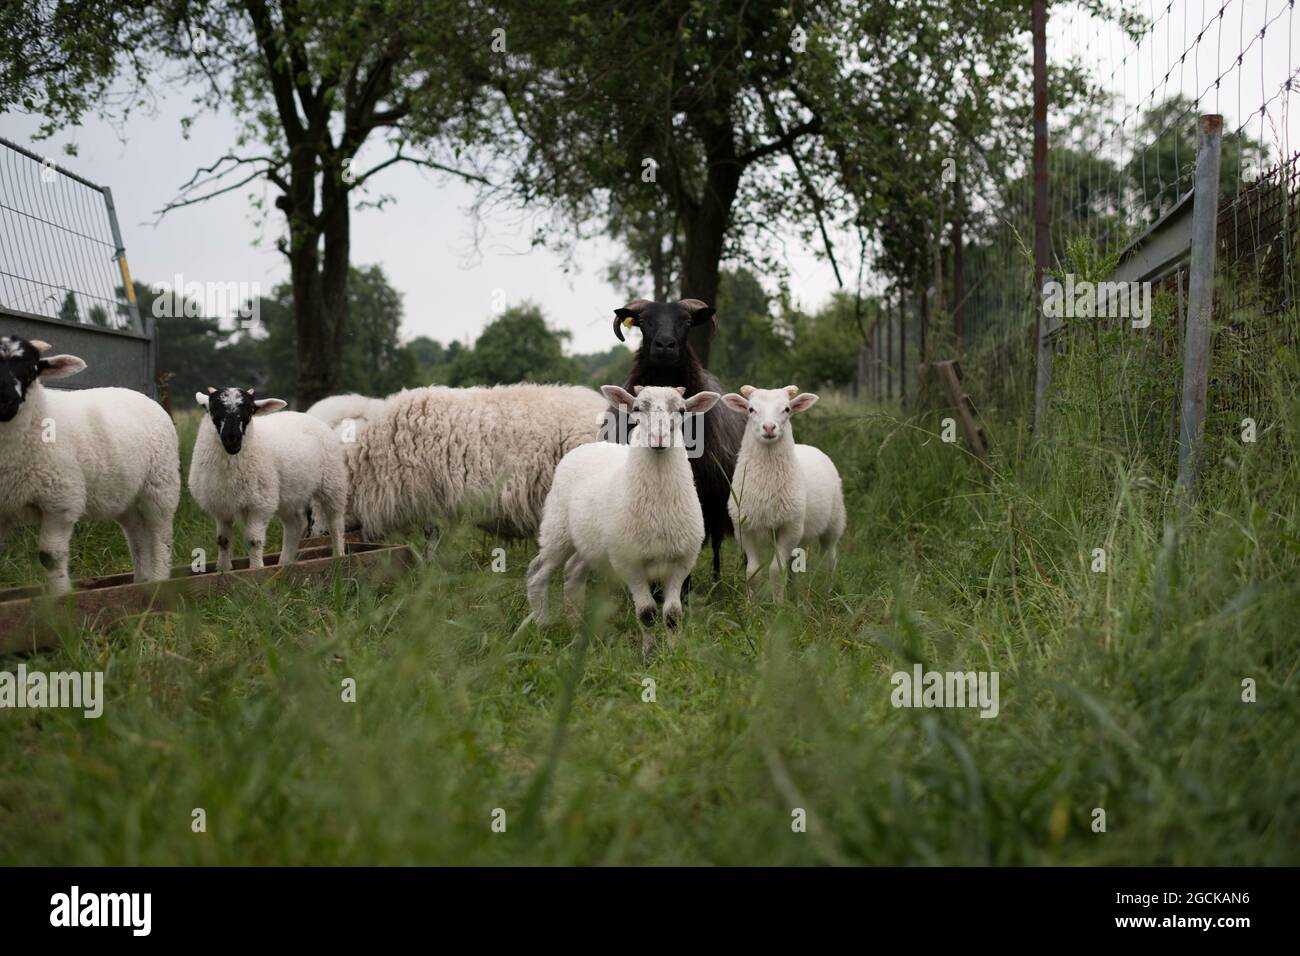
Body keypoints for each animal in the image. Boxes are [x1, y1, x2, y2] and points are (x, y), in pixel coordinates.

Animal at [0, 335, 180, 594]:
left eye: (32, 370)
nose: (6, 402)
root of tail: (139, 394)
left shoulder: (61, 501)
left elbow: (50, 557)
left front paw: (61, 598)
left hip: (160, 483)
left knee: (160, 533)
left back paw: (158, 581)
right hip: (124, 493)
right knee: (136, 534)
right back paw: (140, 581)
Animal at [189, 387, 347, 571]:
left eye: (250, 412)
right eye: (213, 410)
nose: (232, 440)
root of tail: (304, 415)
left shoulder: (260, 503)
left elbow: (253, 540)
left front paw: (256, 569)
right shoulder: (220, 507)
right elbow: (223, 541)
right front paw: (223, 570)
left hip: (333, 482)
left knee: (336, 523)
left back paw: (338, 556)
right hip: (289, 493)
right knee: (295, 525)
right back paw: (285, 563)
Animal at [527, 385, 721, 651]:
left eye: (682, 410)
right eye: (637, 408)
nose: (658, 439)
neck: (658, 504)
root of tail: (587, 446)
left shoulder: (681, 561)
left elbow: (672, 614)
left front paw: (675, 651)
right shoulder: (630, 563)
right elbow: (647, 613)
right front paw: (649, 653)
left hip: (589, 542)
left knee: (573, 572)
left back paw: (575, 625)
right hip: (557, 530)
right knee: (537, 573)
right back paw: (542, 626)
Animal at [720, 385, 846, 600]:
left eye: (787, 409)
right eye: (751, 409)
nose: (769, 428)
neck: (766, 485)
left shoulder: (789, 528)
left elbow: (776, 570)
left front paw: (778, 605)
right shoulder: (744, 529)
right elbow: (752, 572)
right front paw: (750, 605)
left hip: (833, 523)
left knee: (830, 559)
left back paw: (829, 592)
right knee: (794, 565)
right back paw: (794, 594)